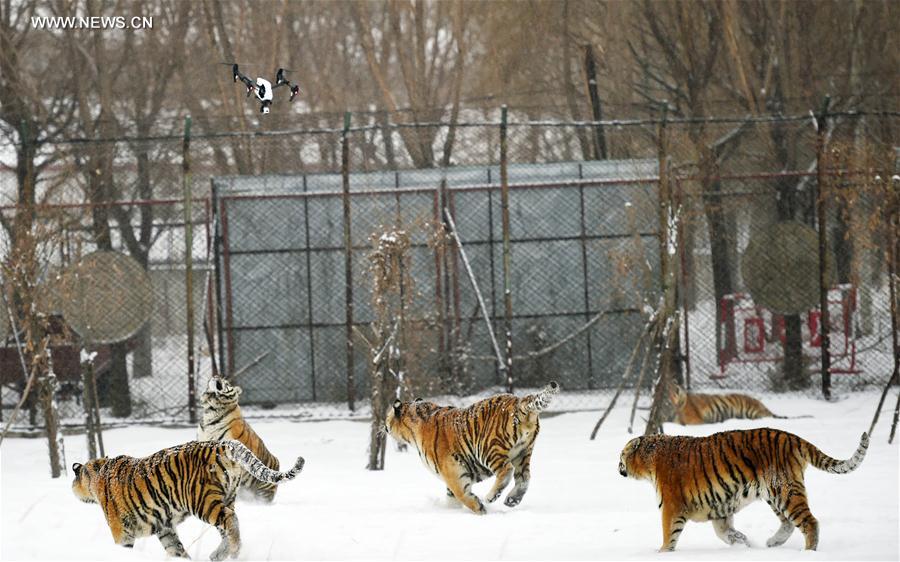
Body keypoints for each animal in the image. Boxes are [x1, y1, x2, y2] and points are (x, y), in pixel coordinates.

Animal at [69, 440, 306, 556]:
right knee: (228, 525)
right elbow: (176, 549)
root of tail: (222, 444)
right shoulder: (164, 528)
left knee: (231, 521)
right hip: (226, 498)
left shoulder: (121, 532)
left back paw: (235, 551)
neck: (99, 471)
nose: (72, 488)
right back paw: (219, 554)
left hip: (203, 501)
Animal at [384, 380, 560, 512]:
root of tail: (519, 401)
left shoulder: (452, 472)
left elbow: (462, 494)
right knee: (524, 477)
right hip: (523, 452)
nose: (384, 425)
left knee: (506, 470)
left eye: (387, 416)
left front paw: (479, 508)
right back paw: (512, 500)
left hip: (488, 448)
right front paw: (452, 510)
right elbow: (452, 497)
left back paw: (490, 497)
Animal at [620, 426, 864, 548]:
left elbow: (668, 534)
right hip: (775, 494)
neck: (650, 458)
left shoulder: (671, 507)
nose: (618, 466)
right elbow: (722, 531)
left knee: (810, 523)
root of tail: (792, 437)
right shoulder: (718, 504)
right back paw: (772, 543)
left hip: (784, 491)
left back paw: (808, 553)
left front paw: (662, 553)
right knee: (788, 523)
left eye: (621, 455)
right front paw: (742, 542)